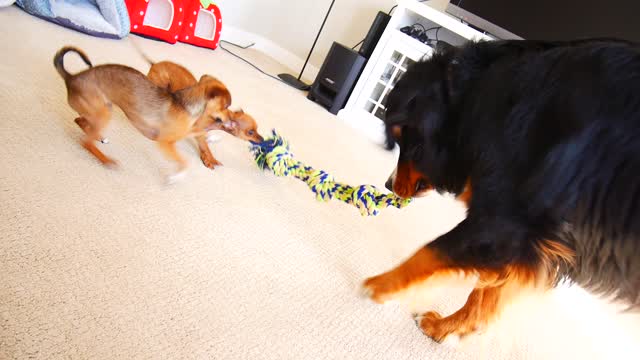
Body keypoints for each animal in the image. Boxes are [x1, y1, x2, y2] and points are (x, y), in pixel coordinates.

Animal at [55, 47, 230, 183]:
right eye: (226, 106)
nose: (230, 119)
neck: (185, 104)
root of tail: (71, 78)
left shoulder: (188, 130)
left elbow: (202, 137)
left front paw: (213, 141)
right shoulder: (165, 142)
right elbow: (185, 162)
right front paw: (175, 177)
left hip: (103, 108)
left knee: (80, 121)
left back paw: (99, 137)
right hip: (103, 113)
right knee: (85, 141)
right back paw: (106, 160)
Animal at [362, 39, 636, 344]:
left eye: (404, 137)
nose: (388, 184)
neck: (476, 97)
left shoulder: (503, 220)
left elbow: (429, 252)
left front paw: (378, 285)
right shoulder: (530, 245)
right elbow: (485, 295)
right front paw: (446, 328)